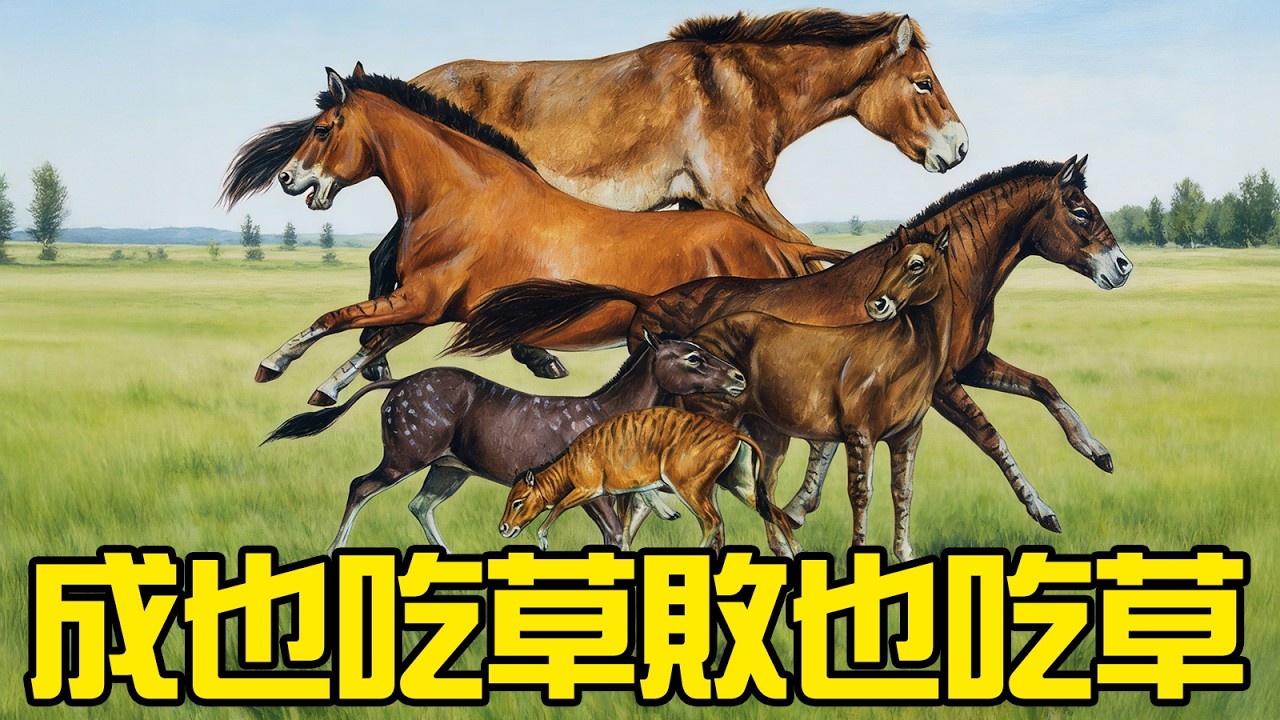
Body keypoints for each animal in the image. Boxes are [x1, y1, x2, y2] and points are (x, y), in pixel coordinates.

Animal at [232, 66, 846, 406]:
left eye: (323, 129)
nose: (289, 179)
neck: (463, 199)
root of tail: (778, 246)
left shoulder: (422, 300)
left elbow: (336, 318)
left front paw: (274, 365)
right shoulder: (426, 307)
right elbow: (369, 340)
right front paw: (324, 387)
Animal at [263, 332, 745, 554]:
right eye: (694, 357)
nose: (739, 377)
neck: (606, 413)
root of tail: (396, 387)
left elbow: (637, 509)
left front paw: (667, 509)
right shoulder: (586, 490)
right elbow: (614, 534)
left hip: (448, 467)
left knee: (419, 504)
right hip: (407, 454)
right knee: (360, 485)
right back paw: (332, 551)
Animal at [449, 157, 1134, 535]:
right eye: (1078, 209)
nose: (1121, 267)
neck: (949, 279)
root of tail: (648, 298)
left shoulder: (965, 366)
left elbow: (1044, 387)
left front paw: (1098, 453)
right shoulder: (942, 385)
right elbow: (992, 436)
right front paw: (1044, 511)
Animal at [498, 407, 799, 556]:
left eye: (518, 501)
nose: (503, 528)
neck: (573, 459)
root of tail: (735, 433)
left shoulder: (587, 489)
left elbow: (559, 507)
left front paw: (543, 540)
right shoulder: (624, 493)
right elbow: (625, 527)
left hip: (690, 489)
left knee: (712, 520)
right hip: (743, 487)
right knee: (776, 514)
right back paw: (797, 550)